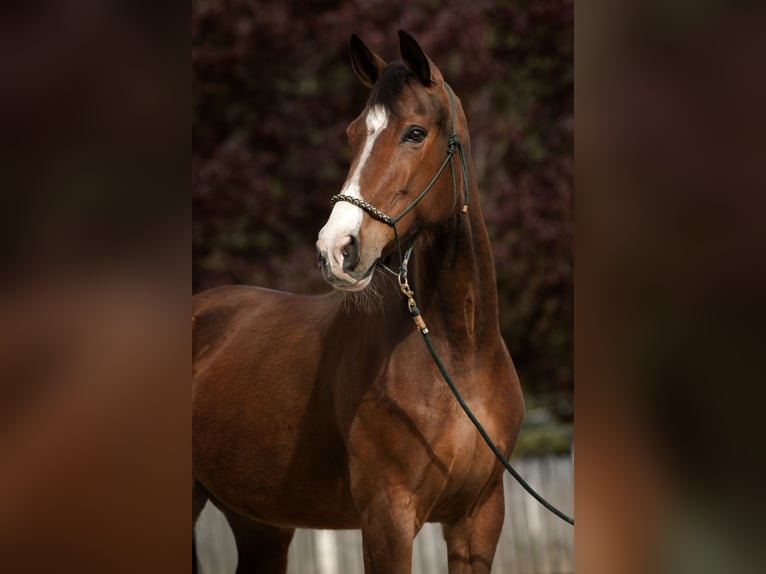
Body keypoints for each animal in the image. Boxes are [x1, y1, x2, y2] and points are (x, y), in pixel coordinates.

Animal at [192, 30, 525, 574]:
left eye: (414, 133)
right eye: (352, 135)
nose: (336, 248)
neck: (460, 355)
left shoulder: (478, 521)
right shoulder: (387, 518)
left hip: (260, 524)